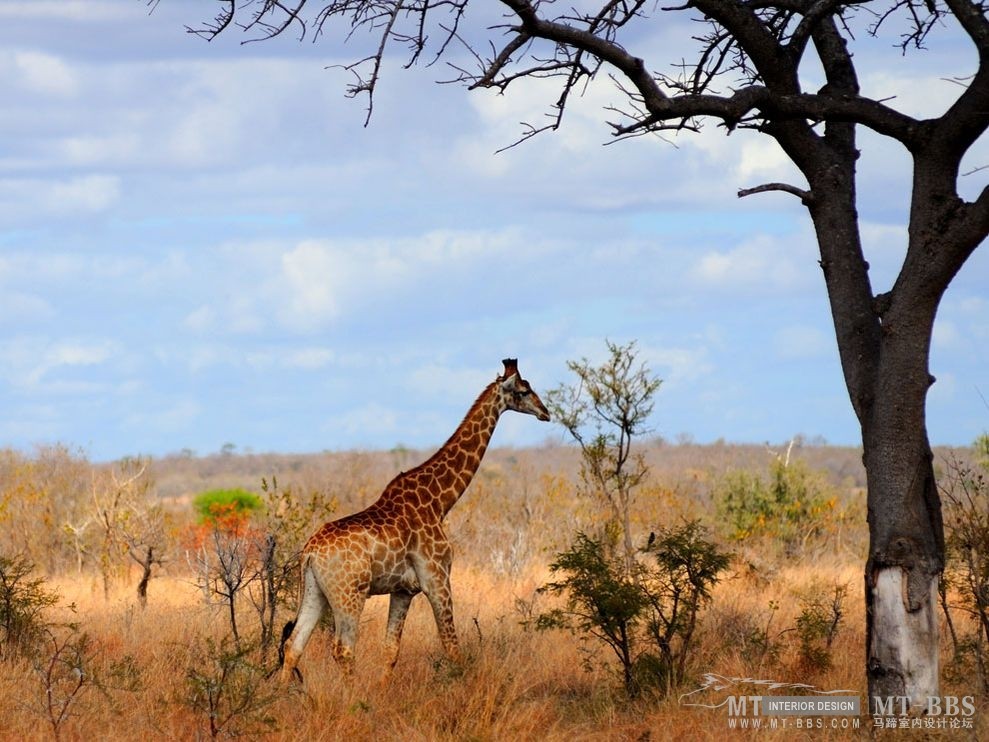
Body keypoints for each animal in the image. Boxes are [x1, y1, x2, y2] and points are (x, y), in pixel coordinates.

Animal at [280, 358, 548, 684]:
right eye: (523, 391)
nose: (546, 412)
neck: (438, 501)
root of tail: (309, 553)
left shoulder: (403, 590)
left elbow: (391, 651)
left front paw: (383, 691)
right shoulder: (437, 579)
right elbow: (452, 647)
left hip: (315, 591)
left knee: (294, 645)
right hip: (350, 593)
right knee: (343, 648)